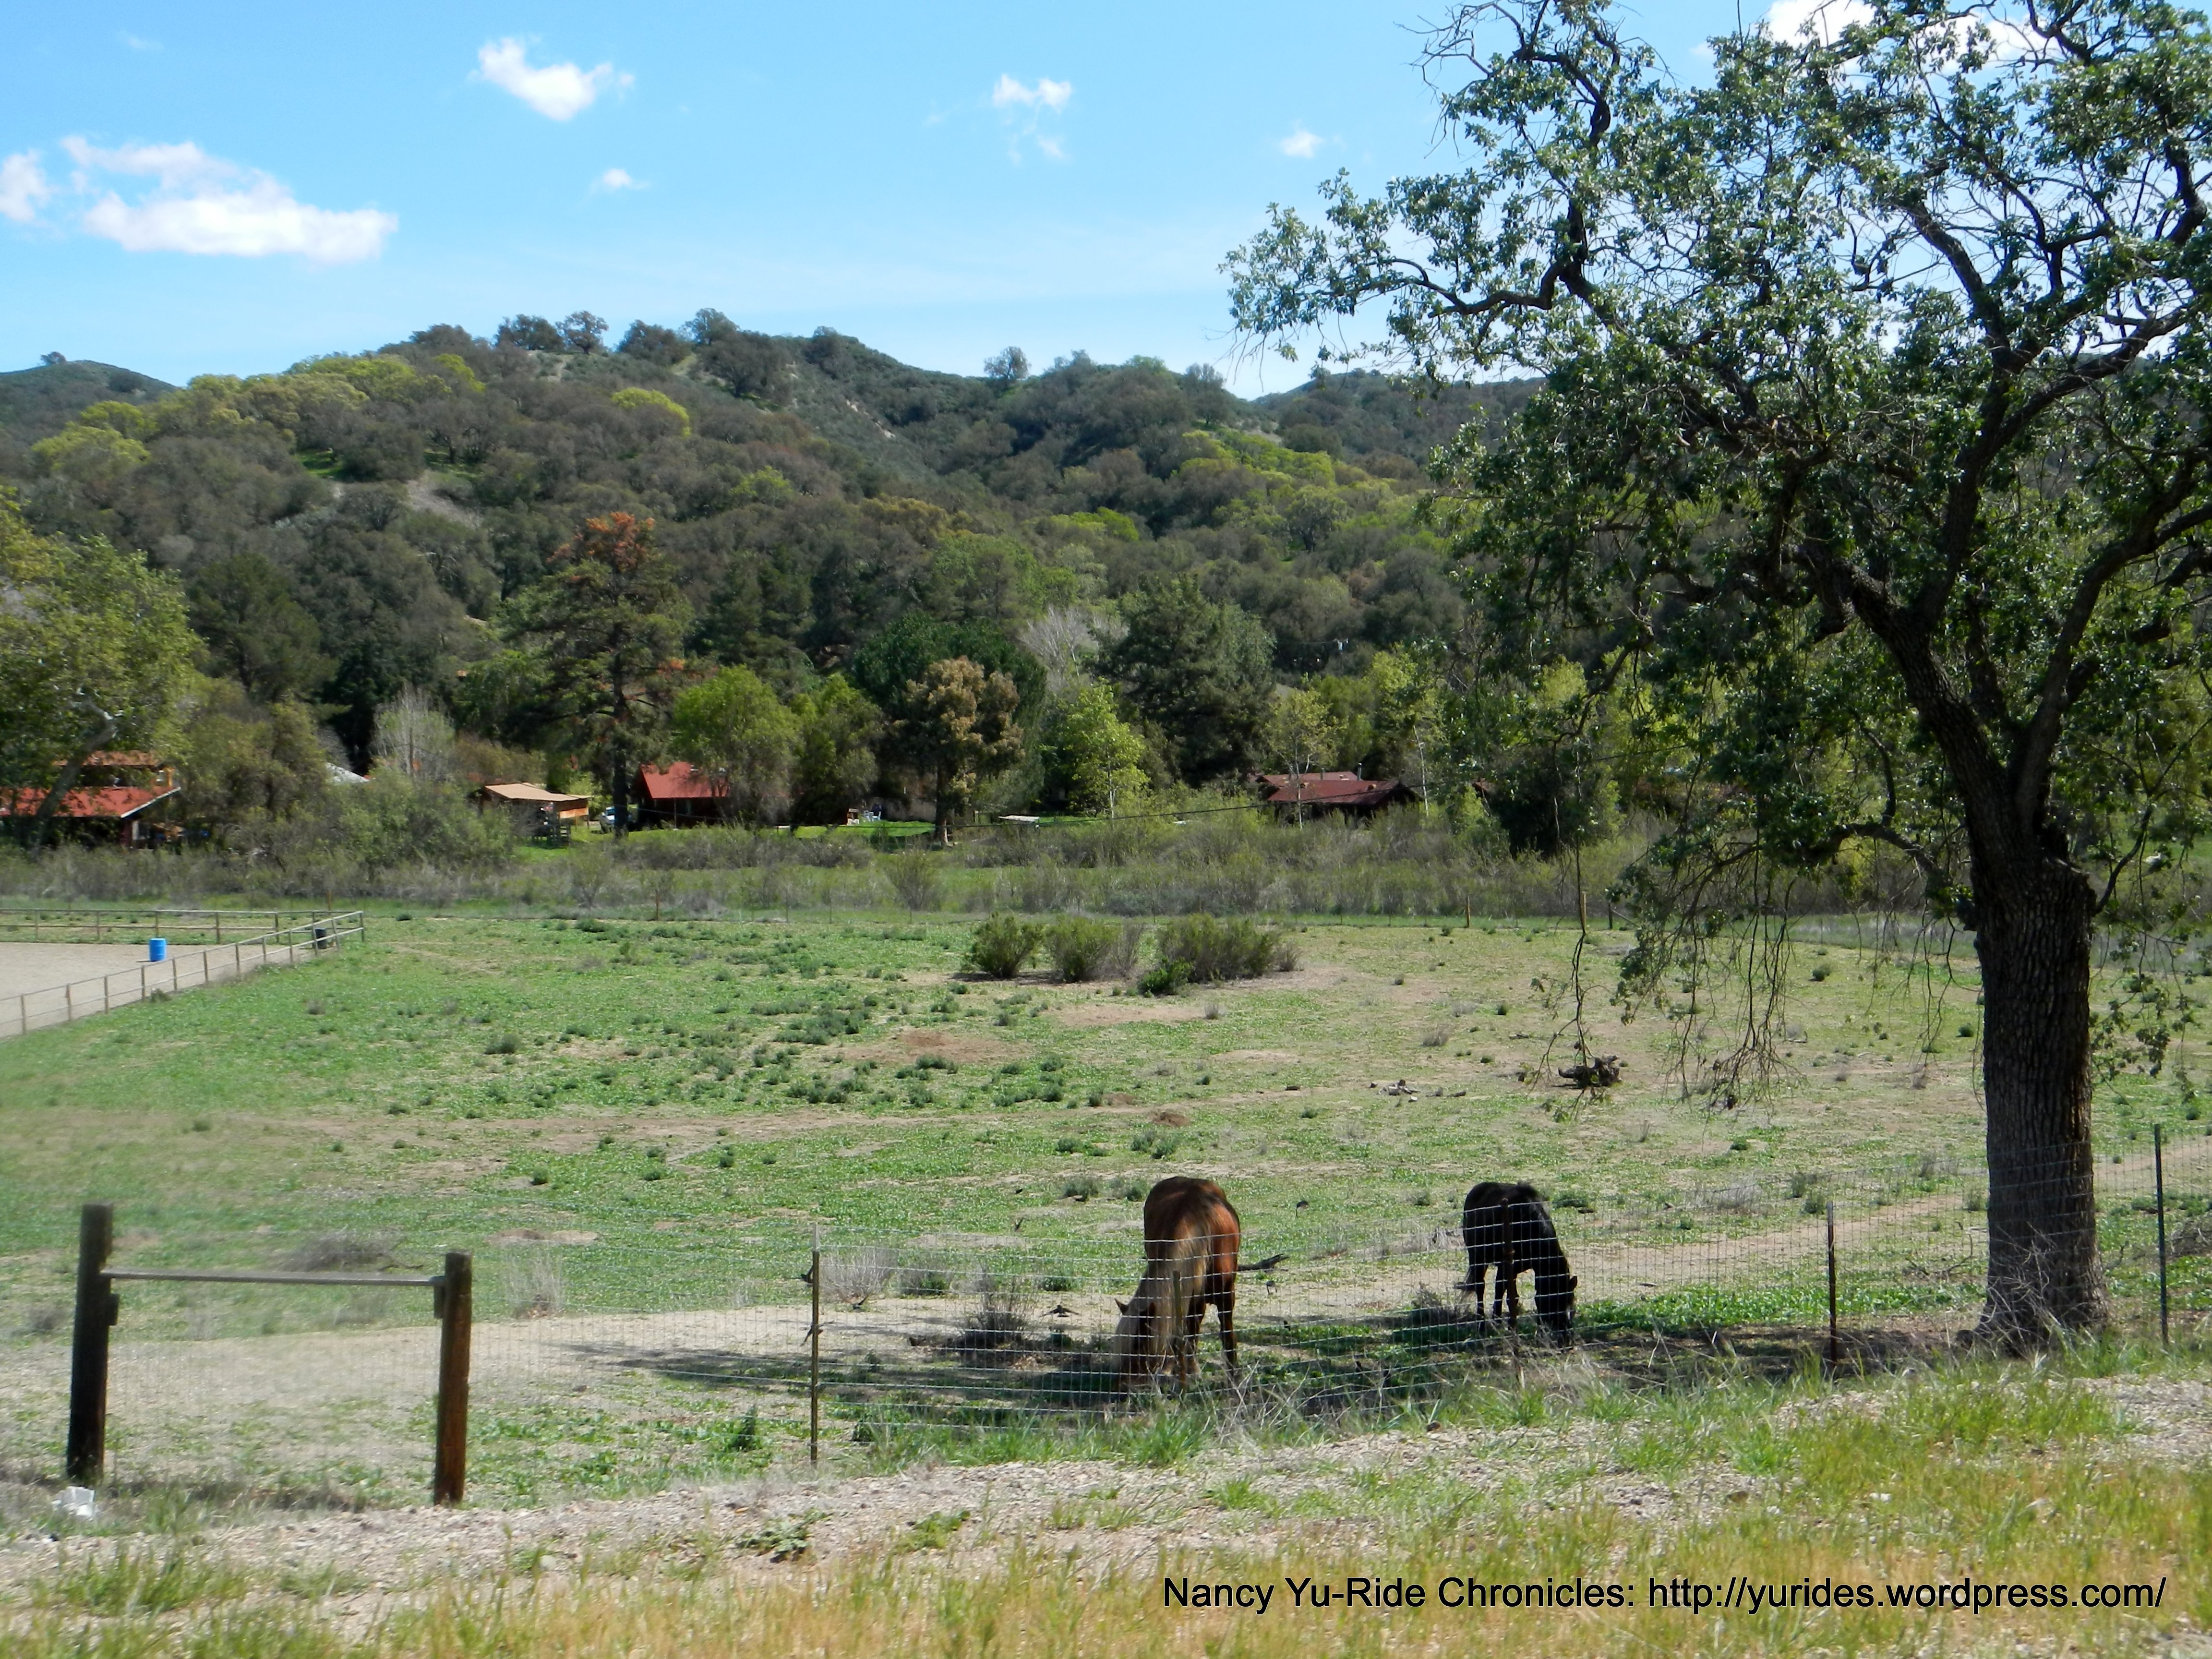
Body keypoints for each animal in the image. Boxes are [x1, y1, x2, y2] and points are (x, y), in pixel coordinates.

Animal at [1112, 1176, 1241, 1390]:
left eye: (1139, 1344)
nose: (1123, 1385)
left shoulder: (1226, 1296)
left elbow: (1228, 1336)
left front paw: (1234, 1378)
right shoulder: (1187, 1297)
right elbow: (1184, 1336)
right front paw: (1187, 1371)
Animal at [1460, 1181, 1577, 1339]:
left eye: (1573, 1307)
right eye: (1555, 1303)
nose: (1567, 1339)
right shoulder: (1509, 1266)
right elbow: (1511, 1298)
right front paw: (1511, 1330)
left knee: (1498, 1289)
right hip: (1478, 1258)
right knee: (1481, 1288)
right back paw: (1482, 1326)